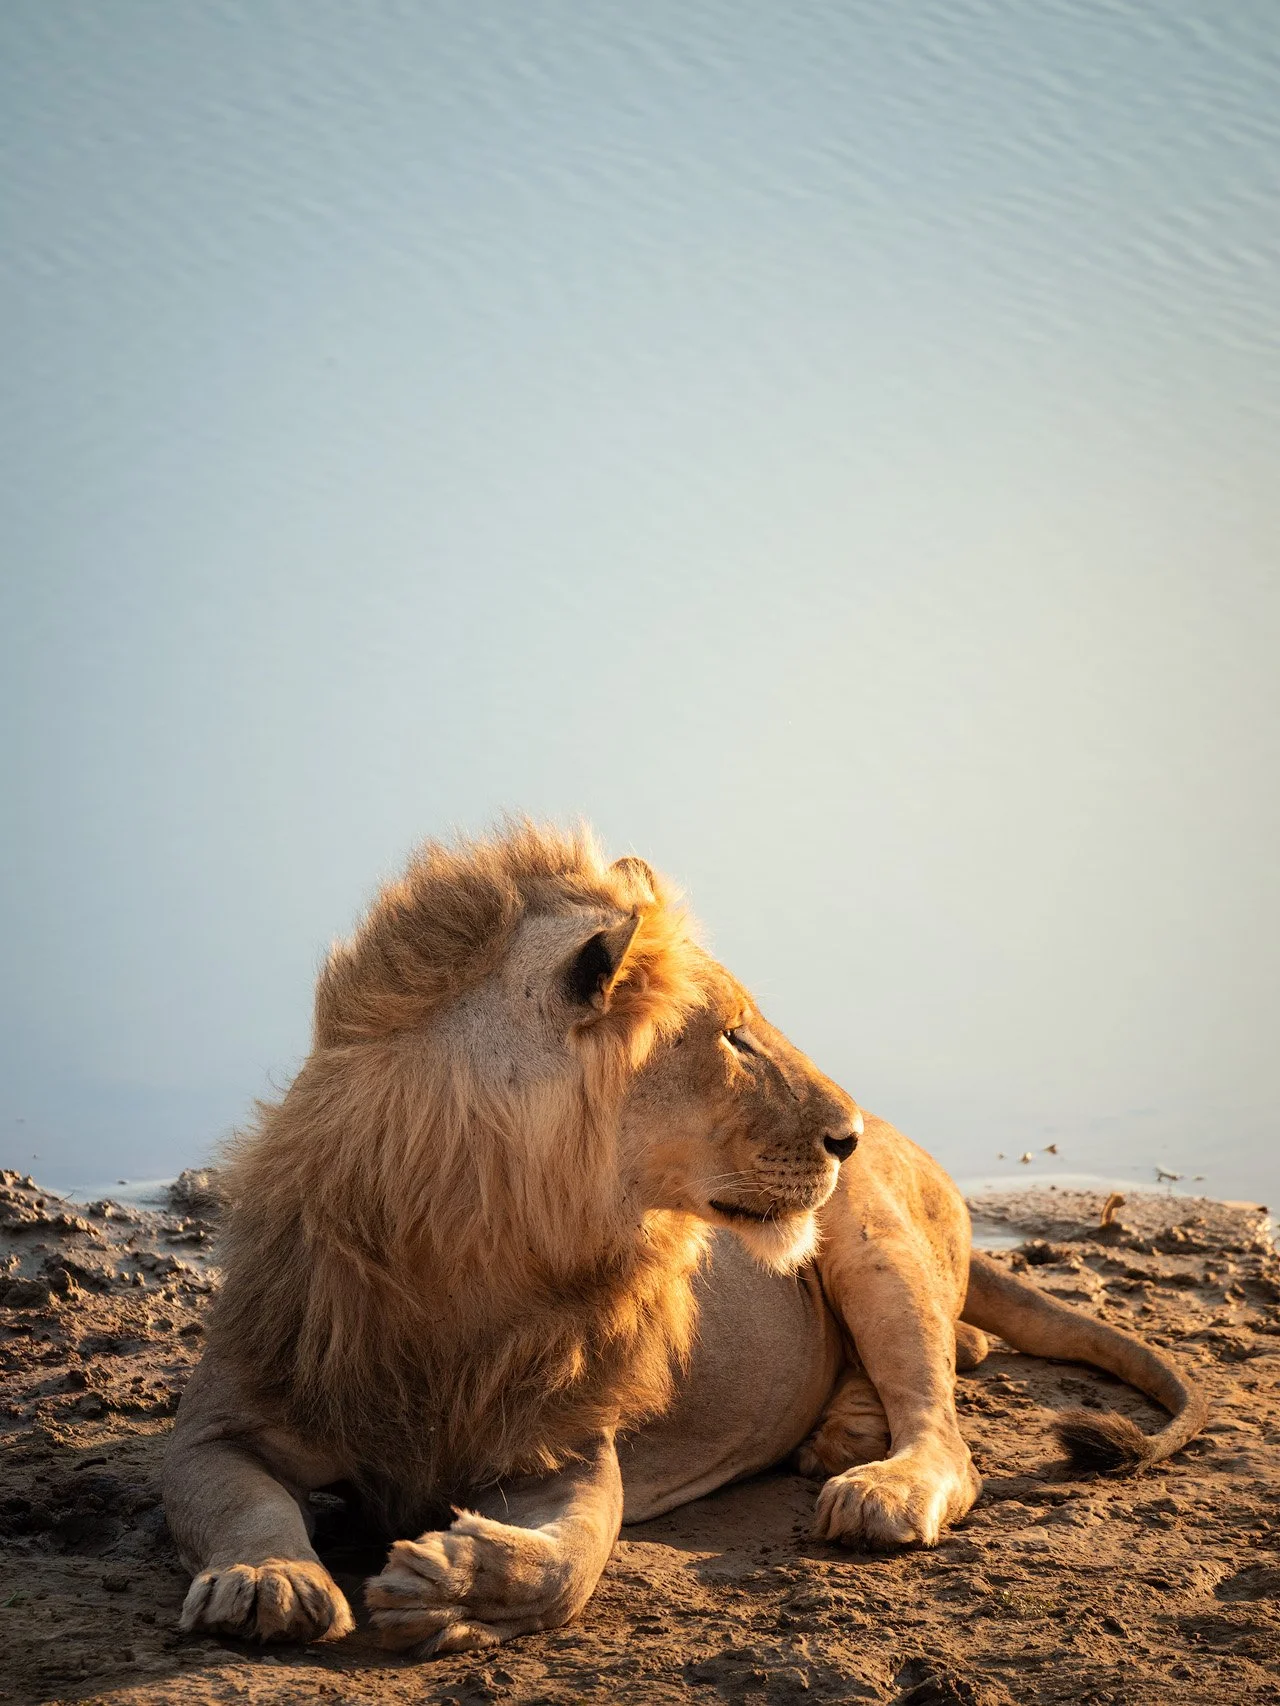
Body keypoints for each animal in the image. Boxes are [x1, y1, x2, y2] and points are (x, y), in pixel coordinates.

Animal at [163, 822, 1207, 1653]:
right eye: (734, 1037)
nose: (846, 1133)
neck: (465, 1237)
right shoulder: (220, 1422)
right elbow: (241, 1498)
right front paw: (270, 1581)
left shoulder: (569, 1440)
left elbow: (571, 1563)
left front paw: (455, 1586)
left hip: (873, 1244)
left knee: (946, 1429)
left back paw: (877, 1476)